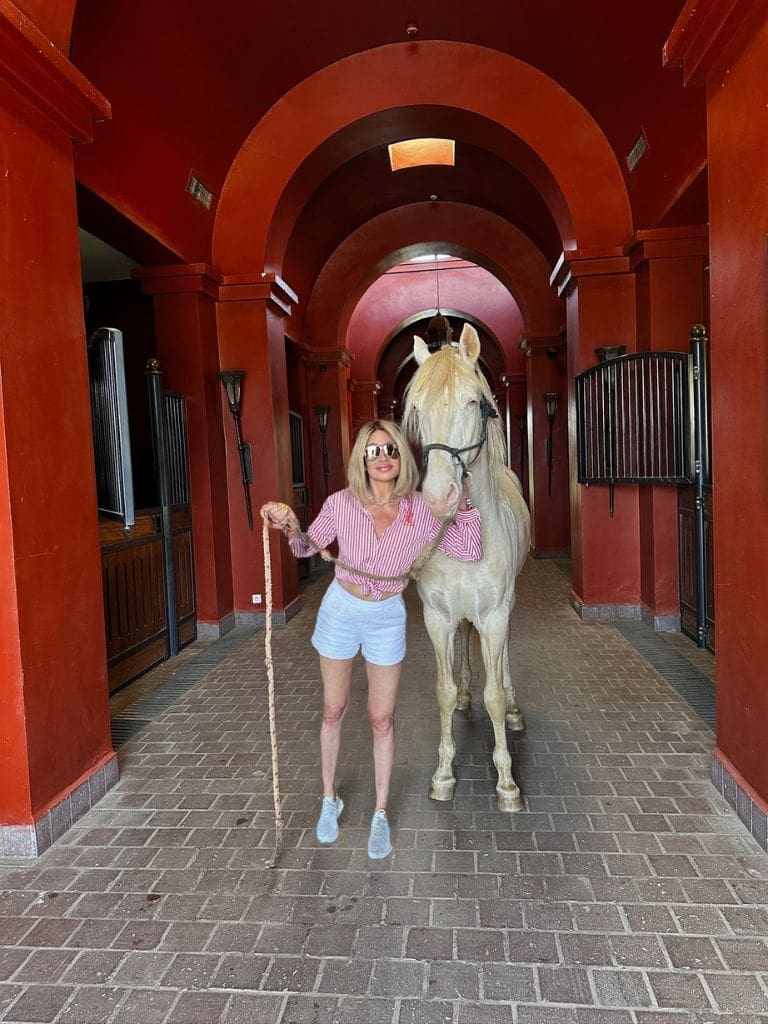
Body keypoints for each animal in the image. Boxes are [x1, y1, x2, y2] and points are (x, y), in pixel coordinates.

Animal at [403, 323, 531, 812]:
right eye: (417, 409)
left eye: (473, 402)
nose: (440, 497)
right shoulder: (437, 617)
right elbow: (441, 691)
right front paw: (443, 775)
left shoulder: (495, 615)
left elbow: (493, 695)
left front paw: (507, 783)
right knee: (464, 643)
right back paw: (464, 694)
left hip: (506, 610)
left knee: (504, 660)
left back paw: (513, 709)